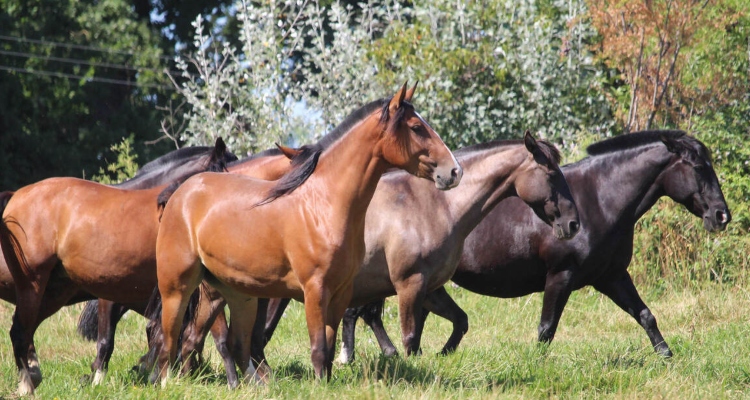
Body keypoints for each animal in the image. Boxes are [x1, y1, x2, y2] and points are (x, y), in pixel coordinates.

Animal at [0, 139, 238, 396]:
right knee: (20, 332)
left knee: (25, 330)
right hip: (32, 285)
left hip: (53, 292)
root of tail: (15, 195)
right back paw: (27, 384)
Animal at [151, 83, 462, 386]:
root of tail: (181, 192)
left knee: (222, 343)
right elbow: (318, 348)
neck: (324, 205)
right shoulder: (315, 290)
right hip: (177, 289)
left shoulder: (340, 292)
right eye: (416, 127)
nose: (454, 171)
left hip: (231, 294)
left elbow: (330, 345)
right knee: (170, 340)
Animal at [338, 130, 732, 360]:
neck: (600, 200)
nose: (721, 215)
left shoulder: (612, 276)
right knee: (359, 313)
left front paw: (666, 356)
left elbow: (646, 315)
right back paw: (357, 357)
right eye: (698, 167)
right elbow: (546, 328)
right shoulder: (561, 275)